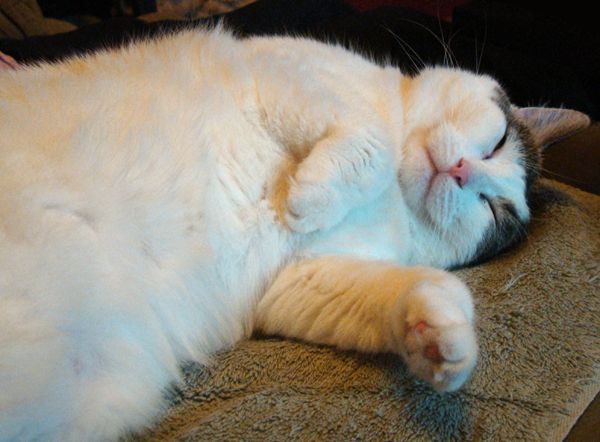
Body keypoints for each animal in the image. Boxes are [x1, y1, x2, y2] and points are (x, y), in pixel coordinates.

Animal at [0, 25, 592, 440]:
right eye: (496, 144)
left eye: (494, 210)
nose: (466, 173)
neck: (392, 200)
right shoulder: (282, 68)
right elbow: (374, 138)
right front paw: (305, 198)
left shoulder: (296, 283)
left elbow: (420, 290)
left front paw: (443, 343)